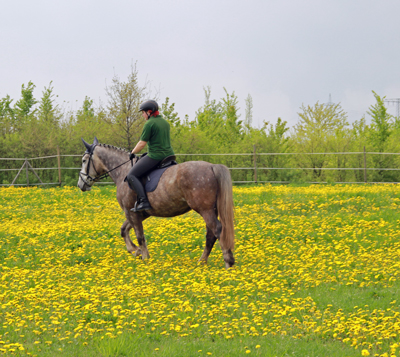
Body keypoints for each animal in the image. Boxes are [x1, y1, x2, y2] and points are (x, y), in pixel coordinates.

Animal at [77, 138, 234, 268]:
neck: (123, 171)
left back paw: (228, 262)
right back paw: (202, 262)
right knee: (210, 235)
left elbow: (140, 236)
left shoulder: (130, 212)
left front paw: (144, 257)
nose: (81, 184)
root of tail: (212, 166)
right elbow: (124, 230)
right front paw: (136, 251)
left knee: (217, 230)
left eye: (84, 160)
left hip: (205, 210)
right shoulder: (138, 213)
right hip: (211, 210)